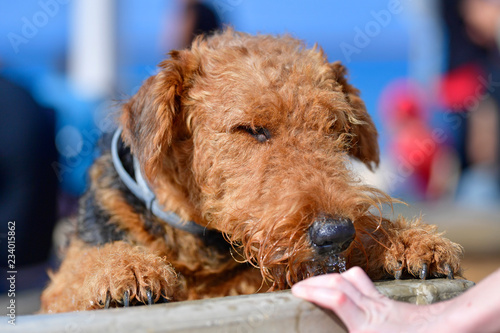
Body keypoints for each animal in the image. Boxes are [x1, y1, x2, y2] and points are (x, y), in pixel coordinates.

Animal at [41, 28, 462, 312]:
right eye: (252, 129)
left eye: (334, 126)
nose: (336, 233)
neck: (204, 246)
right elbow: (77, 271)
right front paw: (124, 269)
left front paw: (405, 242)